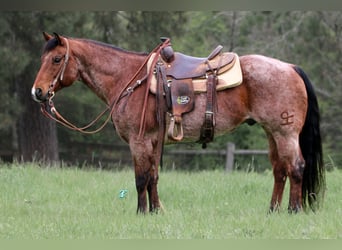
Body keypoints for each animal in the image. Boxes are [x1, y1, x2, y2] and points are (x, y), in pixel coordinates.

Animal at [30, 32, 324, 214]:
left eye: (56, 59)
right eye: (42, 58)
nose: (38, 92)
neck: (129, 78)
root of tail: (290, 67)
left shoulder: (138, 141)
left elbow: (141, 178)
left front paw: (140, 213)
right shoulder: (152, 140)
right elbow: (153, 177)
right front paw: (156, 211)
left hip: (285, 132)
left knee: (296, 167)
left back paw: (293, 210)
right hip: (271, 133)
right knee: (280, 170)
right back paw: (273, 210)